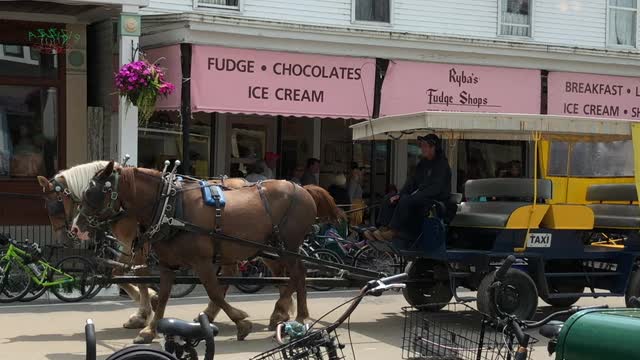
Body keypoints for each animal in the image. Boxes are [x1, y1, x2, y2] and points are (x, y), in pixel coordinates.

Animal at [70, 162, 342, 342]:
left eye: (93, 192)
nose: (76, 228)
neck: (169, 206)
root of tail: (303, 189)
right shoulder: (167, 263)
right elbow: (165, 295)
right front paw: (150, 328)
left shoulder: (201, 261)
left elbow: (214, 290)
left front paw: (242, 322)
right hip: (271, 249)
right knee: (288, 276)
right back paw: (279, 314)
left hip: (288, 247)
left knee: (299, 274)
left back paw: (301, 317)